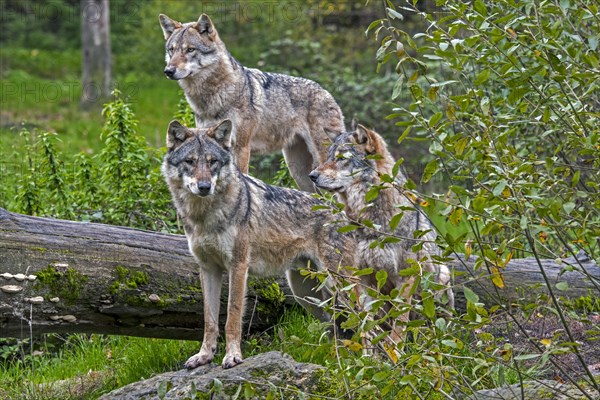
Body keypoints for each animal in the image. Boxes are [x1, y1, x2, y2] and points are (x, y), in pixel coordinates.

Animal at [158, 13, 346, 191]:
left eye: (190, 49)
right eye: (172, 50)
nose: (168, 71)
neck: (213, 96)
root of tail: (326, 92)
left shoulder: (241, 148)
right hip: (298, 171)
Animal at [162, 118, 356, 368]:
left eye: (213, 162)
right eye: (190, 161)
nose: (205, 187)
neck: (204, 216)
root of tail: (345, 215)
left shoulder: (238, 266)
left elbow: (232, 316)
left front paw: (233, 356)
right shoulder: (208, 269)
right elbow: (209, 320)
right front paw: (204, 356)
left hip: (339, 287)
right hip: (307, 294)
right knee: (340, 328)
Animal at [310, 125, 454, 340]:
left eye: (341, 157)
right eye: (327, 157)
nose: (311, 175)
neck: (371, 222)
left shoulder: (406, 276)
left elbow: (399, 324)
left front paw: (396, 349)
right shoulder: (362, 277)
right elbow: (367, 323)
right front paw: (370, 349)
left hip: (441, 278)